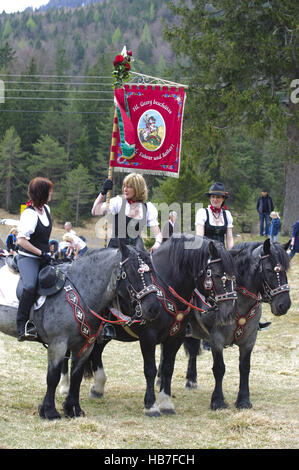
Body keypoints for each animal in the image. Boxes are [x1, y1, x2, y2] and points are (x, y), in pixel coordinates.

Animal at [0, 244, 162, 420]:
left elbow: (76, 376)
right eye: (131, 272)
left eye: (152, 271)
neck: (80, 291)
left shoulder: (85, 345)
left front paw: (73, 409)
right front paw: (49, 411)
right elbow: (53, 376)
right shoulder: (58, 343)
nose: (153, 308)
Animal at [184, 241, 292, 410]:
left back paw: (191, 380)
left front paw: (243, 400)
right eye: (269, 269)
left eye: (285, 270)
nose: (284, 305)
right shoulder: (216, 339)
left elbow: (244, 368)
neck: (237, 303)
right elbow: (219, 368)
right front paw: (218, 401)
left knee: (193, 351)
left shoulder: (249, 340)